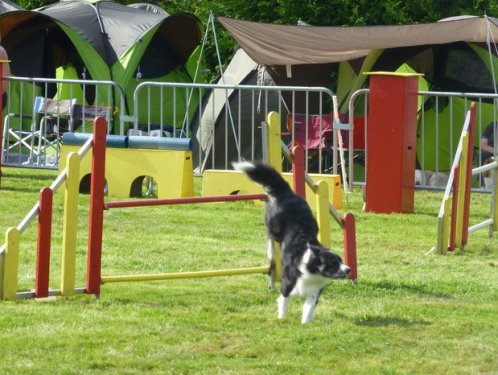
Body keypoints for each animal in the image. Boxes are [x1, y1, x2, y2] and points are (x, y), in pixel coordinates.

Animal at [233, 160, 350, 324]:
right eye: (333, 263)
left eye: (341, 260)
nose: (348, 269)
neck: (312, 268)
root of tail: (287, 193)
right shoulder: (288, 283)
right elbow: (284, 300)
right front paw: (281, 318)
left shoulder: (314, 291)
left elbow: (308, 308)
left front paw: (305, 324)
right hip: (274, 227)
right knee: (270, 235)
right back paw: (270, 248)